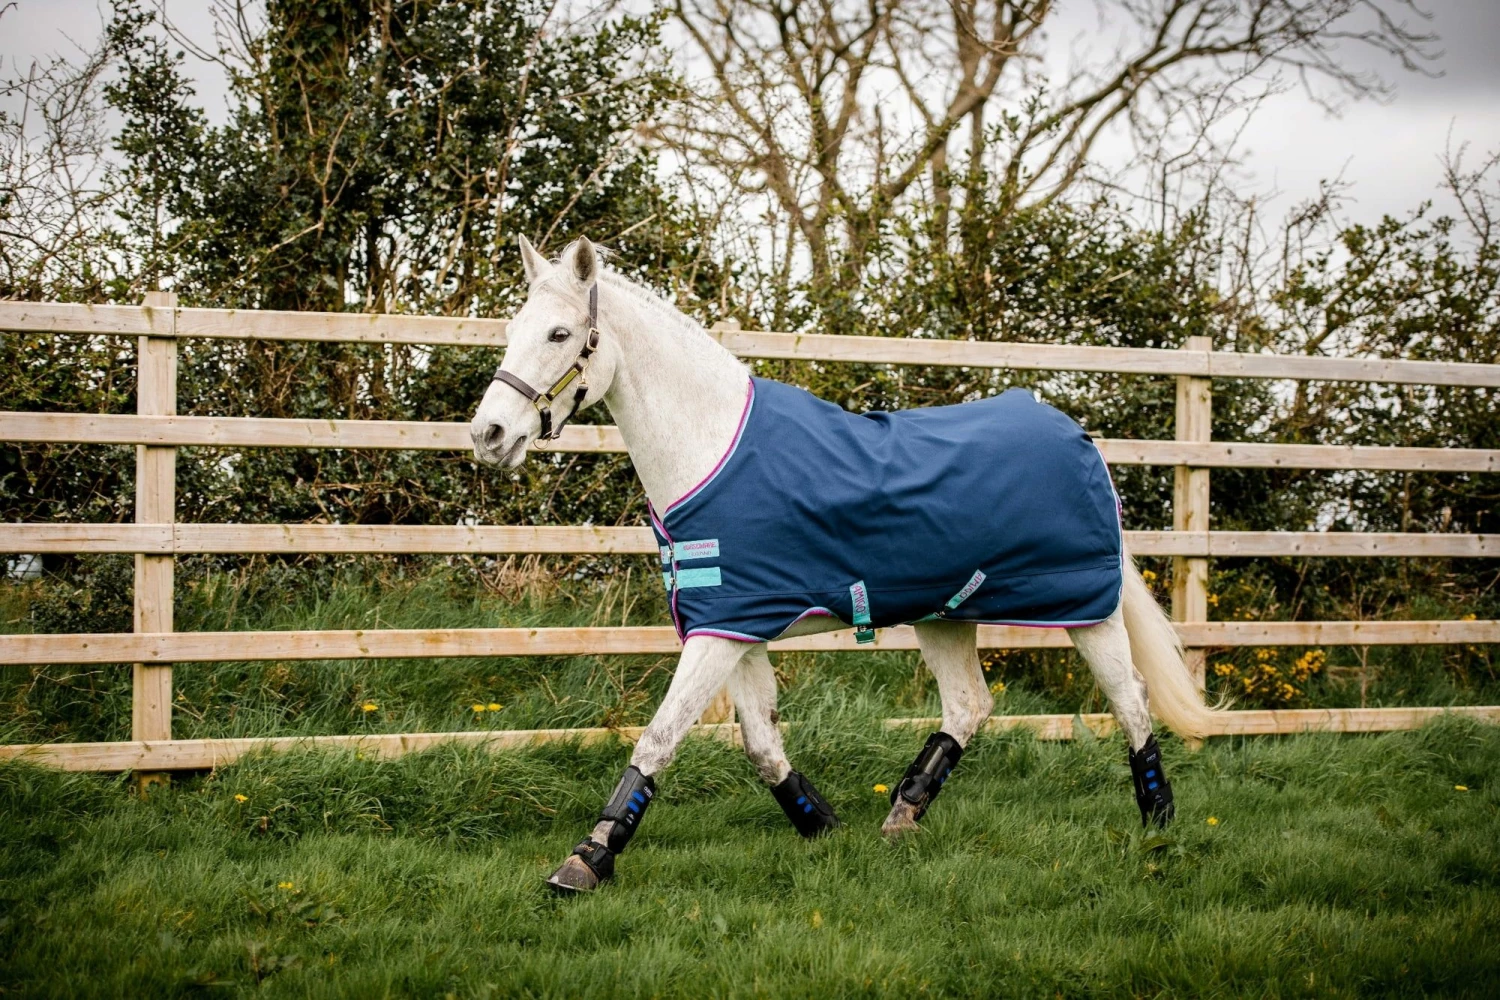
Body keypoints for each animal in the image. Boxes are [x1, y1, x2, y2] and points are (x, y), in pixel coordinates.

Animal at [470, 236, 1222, 894]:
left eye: (560, 334)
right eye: (513, 328)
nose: (488, 434)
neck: (711, 451)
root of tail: (1078, 435)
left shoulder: (721, 633)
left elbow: (659, 738)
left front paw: (586, 860)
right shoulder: (734, 625)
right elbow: (761, 743)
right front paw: (823, 825)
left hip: (1084, 608)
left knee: (1130, 698)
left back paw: (1158, 820)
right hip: (944, 613)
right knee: (969, 705)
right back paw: (903, 814)